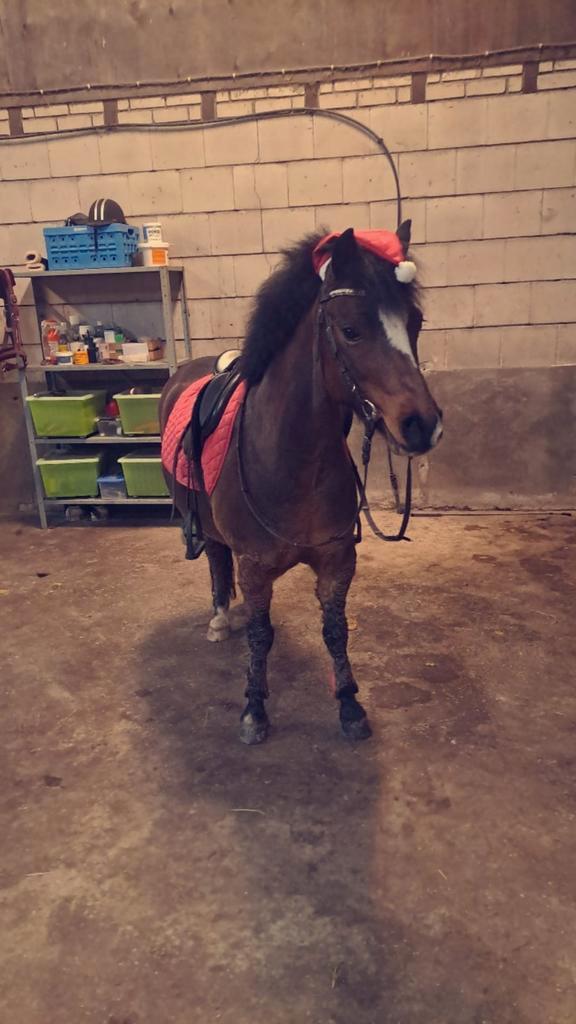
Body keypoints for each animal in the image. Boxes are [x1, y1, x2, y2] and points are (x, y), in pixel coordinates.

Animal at [160, 223, 443, 745]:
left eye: (414, 322)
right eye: (350, 330)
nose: (422, 425)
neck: (294, 463)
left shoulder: (337, 561)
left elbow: (336, 631)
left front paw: (349, 705)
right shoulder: (254, 568)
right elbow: (261, 635)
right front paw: (254, 711)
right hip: (205, 527)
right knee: (215, 559)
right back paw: (219, 618)